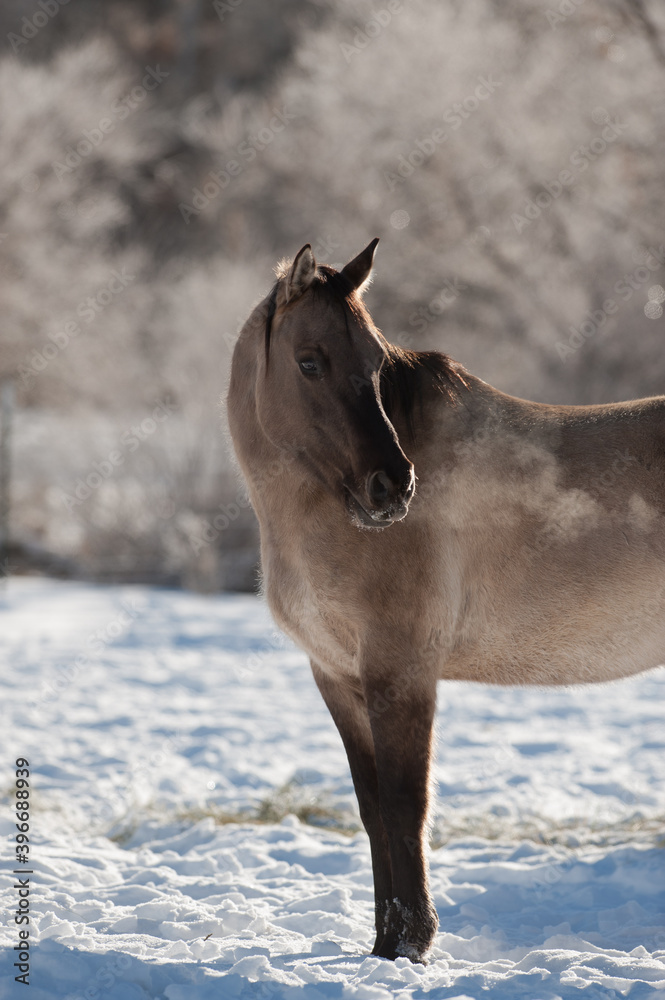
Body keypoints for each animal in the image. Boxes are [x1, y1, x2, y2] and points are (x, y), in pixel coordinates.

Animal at [227, 238, 665, 964]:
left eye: (377, 366)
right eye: (309, 361)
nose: (392, 487)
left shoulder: (401, 672)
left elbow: (407, 806)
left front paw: (412, 943)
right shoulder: (338, 676)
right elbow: (372, 808)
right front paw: (383, 946)